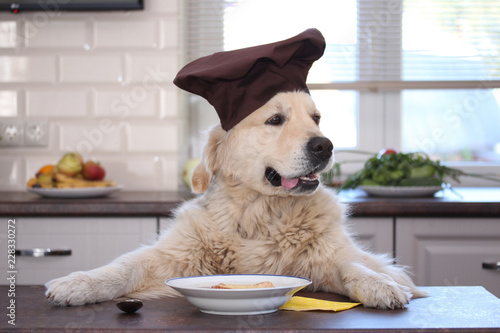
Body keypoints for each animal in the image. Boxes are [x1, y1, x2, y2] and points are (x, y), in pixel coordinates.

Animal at [45, 91, 424, 308]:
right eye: (275, 119)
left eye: (316, 118)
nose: (325, 145)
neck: (258, 214)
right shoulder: (171, 255)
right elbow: (122, 267)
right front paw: (77, 283)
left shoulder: (328, 258)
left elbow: (353, 266)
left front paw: (380, 285)